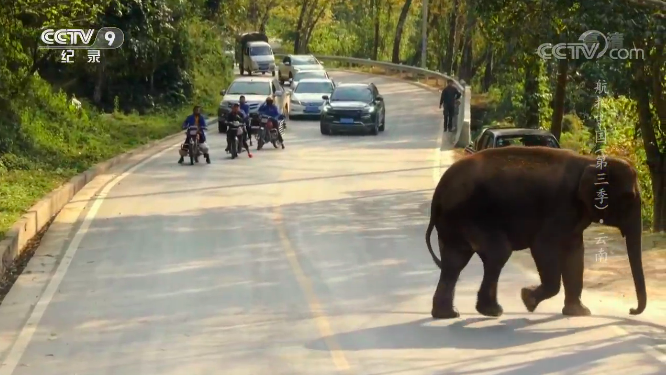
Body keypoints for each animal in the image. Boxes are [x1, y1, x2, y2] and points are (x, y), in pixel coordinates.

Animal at [426, 147, 644, 320]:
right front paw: (527, 299)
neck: (589, 162)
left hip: (454, 222)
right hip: (472, 216)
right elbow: (543, 247)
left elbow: (575, 254)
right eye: (629, 197)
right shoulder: (560, 207)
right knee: (497, 253)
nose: (631, 310)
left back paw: (448, 314)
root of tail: (437, 194)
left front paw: (579, 313)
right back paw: (492, 311)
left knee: (454, 262)